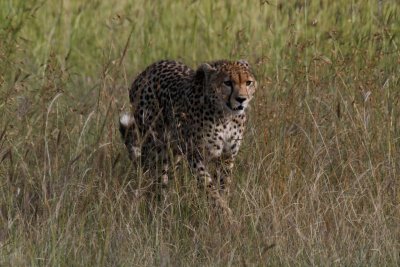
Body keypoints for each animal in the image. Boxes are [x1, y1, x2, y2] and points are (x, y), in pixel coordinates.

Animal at [119, 59, 256, 215]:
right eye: (227, 83)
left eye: (248, 82)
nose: (241, 99)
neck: (225, 115)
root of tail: (147, 70)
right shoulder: (195, 154)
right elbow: (208, 186)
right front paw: (224, 211)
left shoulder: (227, 156)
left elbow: (223, 185)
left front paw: (222, 210)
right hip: (156, 147)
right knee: (157, 179)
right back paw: (160, 210)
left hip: (175, 151)